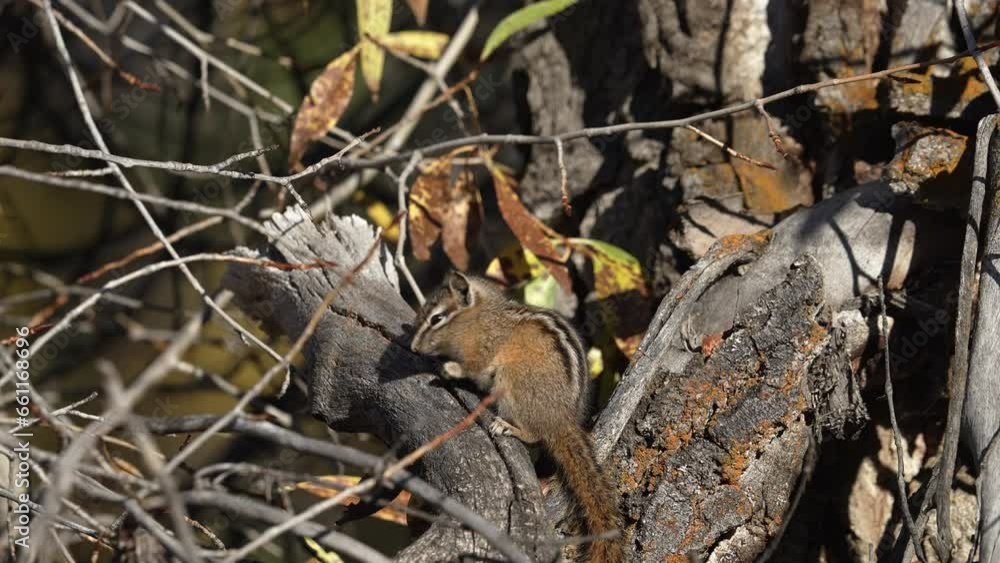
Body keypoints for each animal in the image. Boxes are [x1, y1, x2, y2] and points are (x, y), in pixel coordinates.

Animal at [410, 271, 625, 563]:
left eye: (437, 318)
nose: (413, 348)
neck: (479, 317)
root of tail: (561, 421)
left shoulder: (484, 350)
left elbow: (473, 368)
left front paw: (450, 368)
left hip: (511, 383)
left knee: (534, 435)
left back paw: (508, 427)